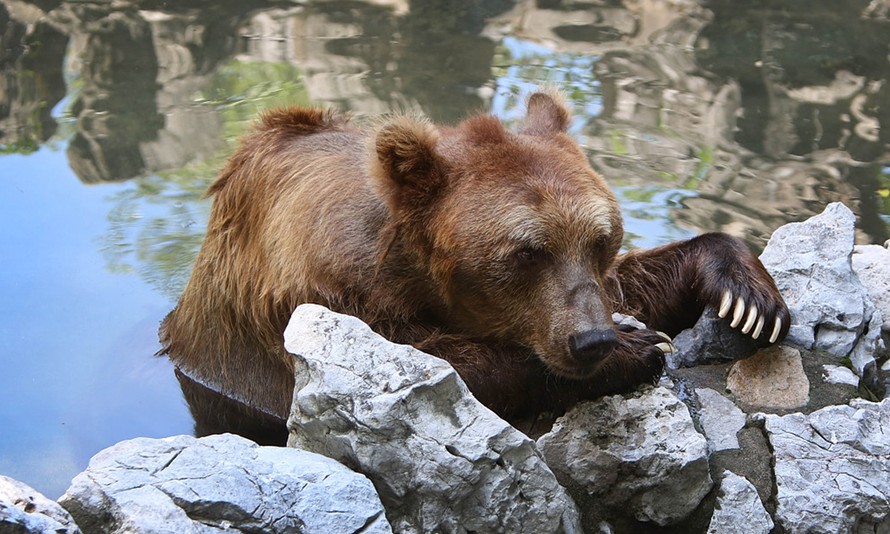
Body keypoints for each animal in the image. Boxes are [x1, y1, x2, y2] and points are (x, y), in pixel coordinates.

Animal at [156, 91, 788, 440]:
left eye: (601, 238)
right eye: (527, 251)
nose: (593, 340)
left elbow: (630, 285)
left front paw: (747, 297)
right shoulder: (309, 299)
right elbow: (441, 371)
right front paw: (638, 349)